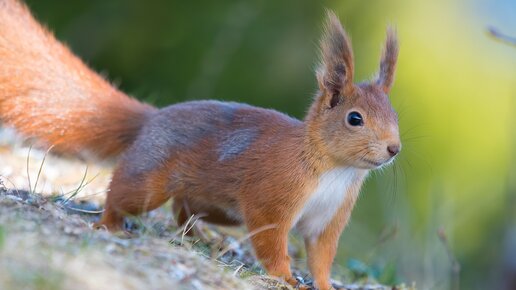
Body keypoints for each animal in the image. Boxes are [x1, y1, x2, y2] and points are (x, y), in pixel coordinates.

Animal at [0, 1, 400, 288]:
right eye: (354, 119)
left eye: (395, 114)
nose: (394, 149)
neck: (335, 170)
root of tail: (154, 118)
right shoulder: (273, 197)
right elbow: (272, 242)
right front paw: (287, 277)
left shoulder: (329, 218)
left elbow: (321, 257)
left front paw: (324, 284)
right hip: (150, 178)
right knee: (125, 194)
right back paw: (111, 223)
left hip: (218, 205)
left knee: (183, 208)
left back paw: (201, 236)